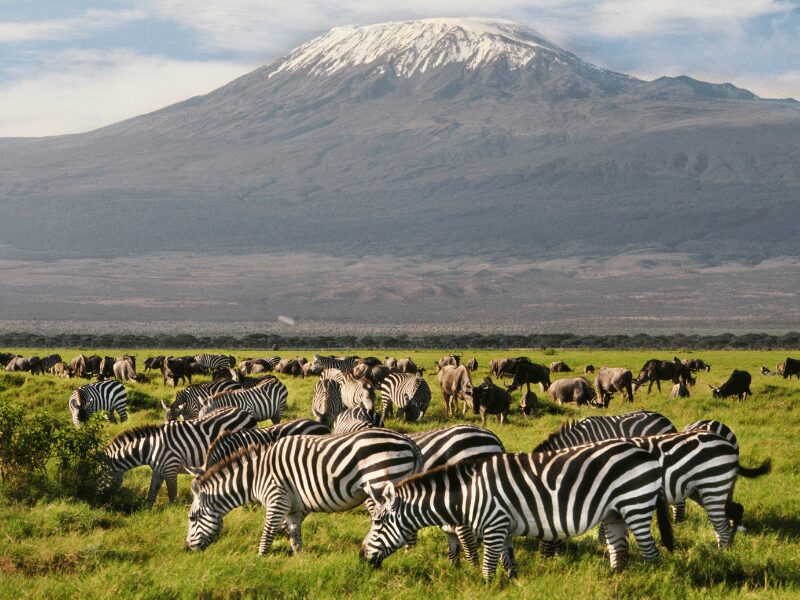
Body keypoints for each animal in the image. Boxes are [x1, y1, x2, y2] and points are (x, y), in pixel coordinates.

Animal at [100, 407, 257, 504]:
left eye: (100, 475)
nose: (101, 499)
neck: (149, 448)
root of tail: (245, 412)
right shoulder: (158, 470)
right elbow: (152, 493)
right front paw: (148, 510)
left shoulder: (170, 468)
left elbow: (172, 496)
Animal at [185, 429, 423, 554]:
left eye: (192, 517)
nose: (186, 548)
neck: (255, 477)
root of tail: (408, 441)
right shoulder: (292, 507)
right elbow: (294, 535)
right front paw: (300, 562)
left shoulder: (276, 499)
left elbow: (267, 533)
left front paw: (259, 561)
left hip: (382, 482)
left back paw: (407, 557)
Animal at [360, 439, 673, 578]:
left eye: (378, 523)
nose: (361, 557)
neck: (469, 494)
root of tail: (645, 452)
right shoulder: (505, 528)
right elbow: (508, 563)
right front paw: (512, 584)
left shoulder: (494, 524)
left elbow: (488, 565)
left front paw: (486, 587)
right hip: (613, 513)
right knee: (619, 550)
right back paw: (613, 580)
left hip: (635, 504)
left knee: (651, 551)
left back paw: (653, 577)